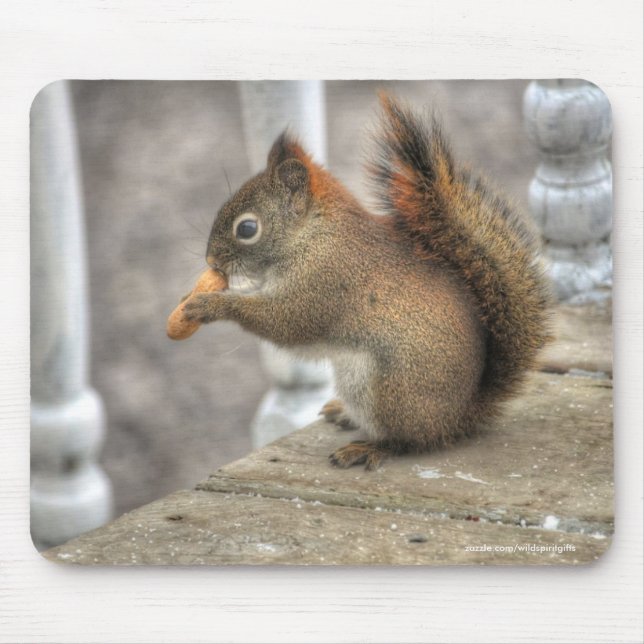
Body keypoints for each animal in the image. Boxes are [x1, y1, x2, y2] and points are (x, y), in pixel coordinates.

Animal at [183, 93, 551, 470]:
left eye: (247, 228)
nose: (212, 261)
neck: (313, 235)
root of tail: (459, 416)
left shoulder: (325, 282)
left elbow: (286, 322)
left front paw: (209, 304)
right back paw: (345, 415)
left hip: (386, 390)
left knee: (409, 441)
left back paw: (369, 448)